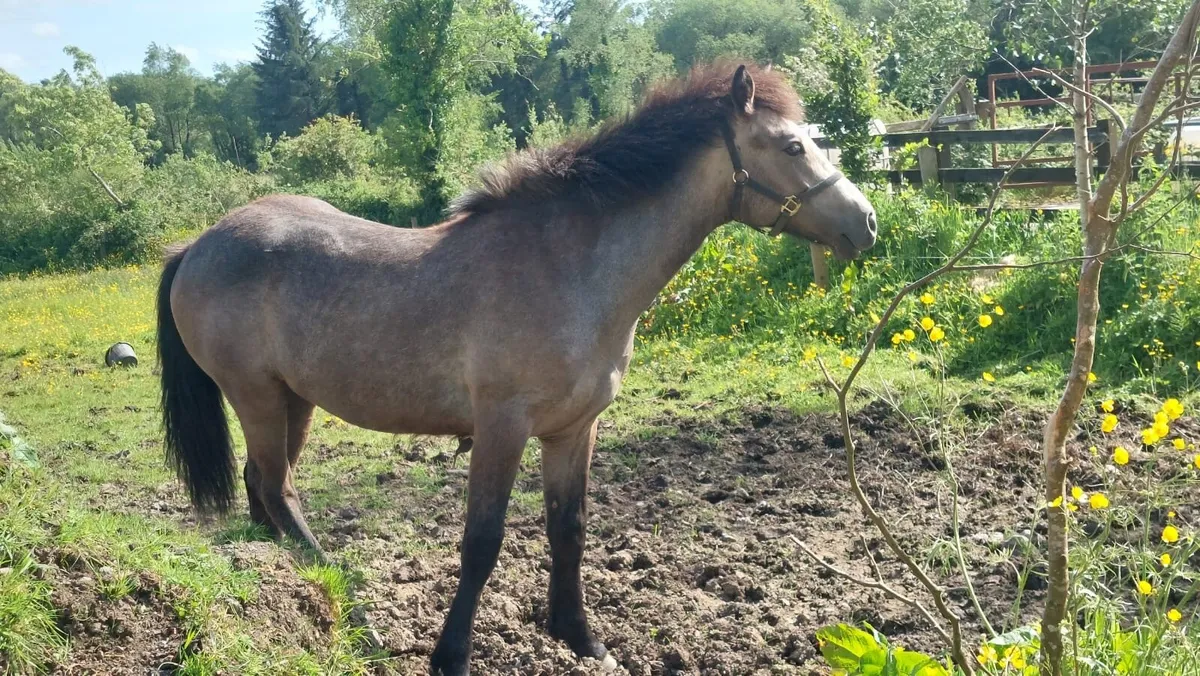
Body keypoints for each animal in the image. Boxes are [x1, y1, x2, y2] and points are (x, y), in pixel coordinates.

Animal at [156, 62, 877, 675]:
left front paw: (581, 637)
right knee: (278, 488)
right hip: (255, 396)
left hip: (293, 400)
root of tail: (198, 244)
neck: (571, 268)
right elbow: (483, 541)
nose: (866, 222)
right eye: (792, 147)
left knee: (262, 485)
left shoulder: (574, 430)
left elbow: (569, 530)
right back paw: (357, 617)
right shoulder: (501, 427)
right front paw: (451, 655)